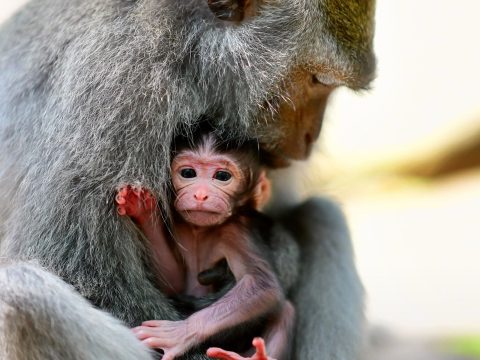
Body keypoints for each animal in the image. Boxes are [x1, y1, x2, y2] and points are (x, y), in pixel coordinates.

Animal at [117, 131, 296, 360]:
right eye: (188, 173)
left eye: (222, 176)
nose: (200, 195)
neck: (199, 231)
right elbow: (173, 282)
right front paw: (142, 208)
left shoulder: (234, 231)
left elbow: (262, 284)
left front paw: (179, 333)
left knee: (285, 310)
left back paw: (256, 357)